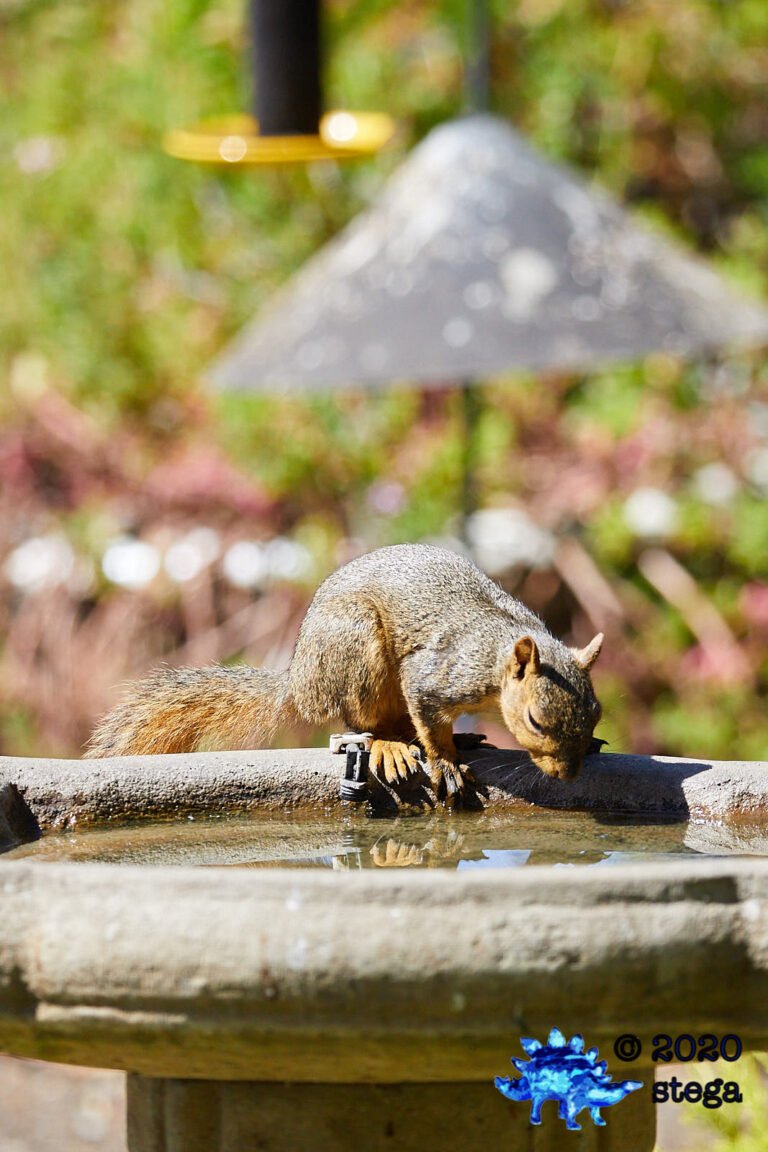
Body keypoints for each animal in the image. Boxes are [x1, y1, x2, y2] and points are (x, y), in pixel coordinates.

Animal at [86, 543, 604, 801]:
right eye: (535, 720)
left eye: (596, 712)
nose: (568, 776)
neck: (498, 655)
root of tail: (299, 682)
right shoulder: (440, 676)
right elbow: (429, 719)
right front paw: (444, 762)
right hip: (357, 652)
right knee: (363, 725)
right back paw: (393, 747)